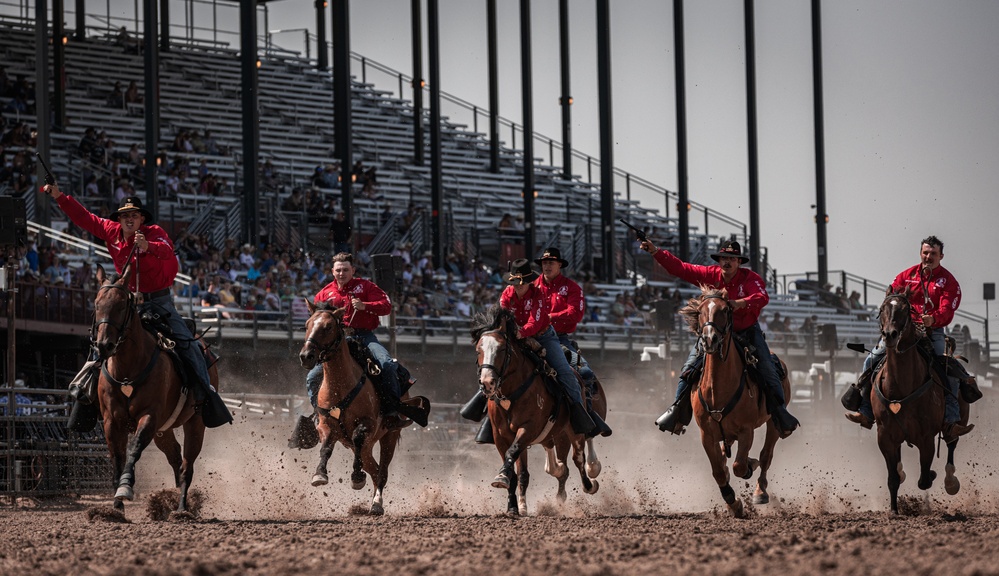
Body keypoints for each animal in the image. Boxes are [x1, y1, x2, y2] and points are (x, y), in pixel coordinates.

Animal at [92, 264, 217, 516]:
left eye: (122, 304)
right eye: (97, 304)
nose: (104, 345)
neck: (128, 370)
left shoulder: (149, 416)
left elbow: (134, 449)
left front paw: (125, 488)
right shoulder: (111, 421)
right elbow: (118, 458)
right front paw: (115, 508)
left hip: (195, 423)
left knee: (187, 465)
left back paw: (182, 508)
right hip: (163, 430)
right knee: (175, 457)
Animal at [292, 300, 426, 516]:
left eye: (328, 326)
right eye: (306, 325)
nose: (306, 356)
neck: (340, 385)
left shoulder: (367, 424)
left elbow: (357, 438)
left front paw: (356, 478)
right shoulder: (326, 425)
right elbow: (326, 448)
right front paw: (320, 475)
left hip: (389, 436)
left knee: (382, 471)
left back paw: (376, 504)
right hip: (368, 446)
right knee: (374, 469)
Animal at [472, 308, 604, 516]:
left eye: (501, 349)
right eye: (479, 350)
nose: (487, 383)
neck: (512, 393)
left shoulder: (529, 428)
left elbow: (513, 452)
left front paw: (503, 480)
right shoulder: (501, 436)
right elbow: (516, 470)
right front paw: (513, 505)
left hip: (573, 430)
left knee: (578, 458)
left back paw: (589, 483)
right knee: (558, 465)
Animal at [684, 288, 792, 516]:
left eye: (725, 310)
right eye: (700, 311)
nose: (709, 339)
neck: (718, 389)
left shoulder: (746, 431)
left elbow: (740, 466)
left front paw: (750, 466)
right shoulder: (706, 434)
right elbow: (718, 470)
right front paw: (733, 503)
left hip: (774, 422)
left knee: (766, 455)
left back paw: (760, 491)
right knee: (727, 454)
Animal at [876, 288, 968, 512]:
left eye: (905, 310)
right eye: (882, 308)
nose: (889, 335)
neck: (901, 385)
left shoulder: (926, 437)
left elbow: (924, 479)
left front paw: (934, 475)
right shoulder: (884, 436)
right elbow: (893, 478)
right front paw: (894, 510)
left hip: (958, 422)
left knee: (952, 443)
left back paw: (950, 482)